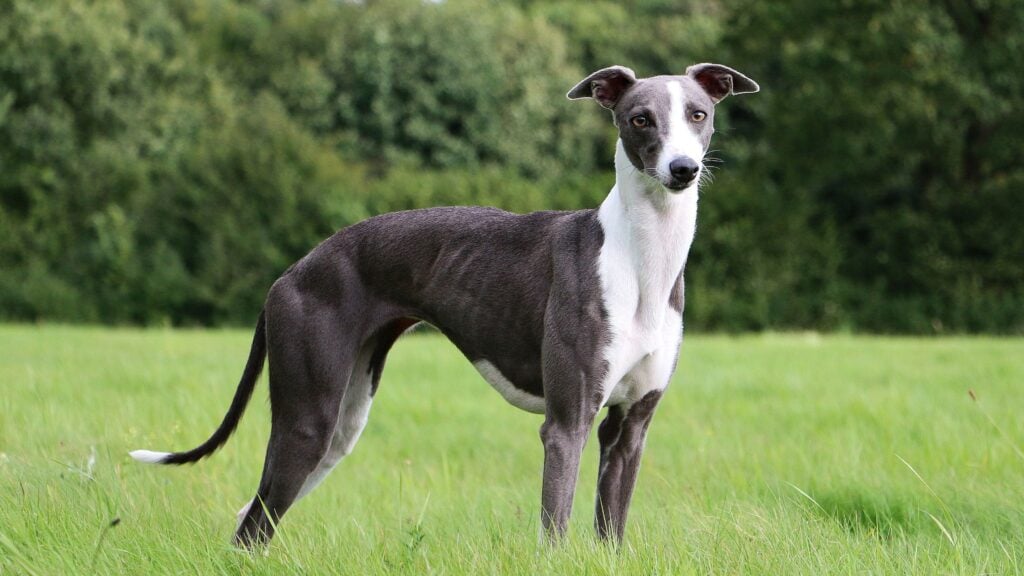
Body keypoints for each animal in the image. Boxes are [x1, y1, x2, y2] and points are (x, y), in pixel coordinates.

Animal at [132, 62, 757, 545]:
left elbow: (612, 532)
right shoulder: (566, 424)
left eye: (698, 114)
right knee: (253, 525)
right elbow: (555, 529)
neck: (638, 260)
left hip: (342, 423)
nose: (683, 170)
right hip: (308, 419)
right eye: (639, 118)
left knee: (251, 520)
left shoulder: (629, 430)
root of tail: (290, 274)